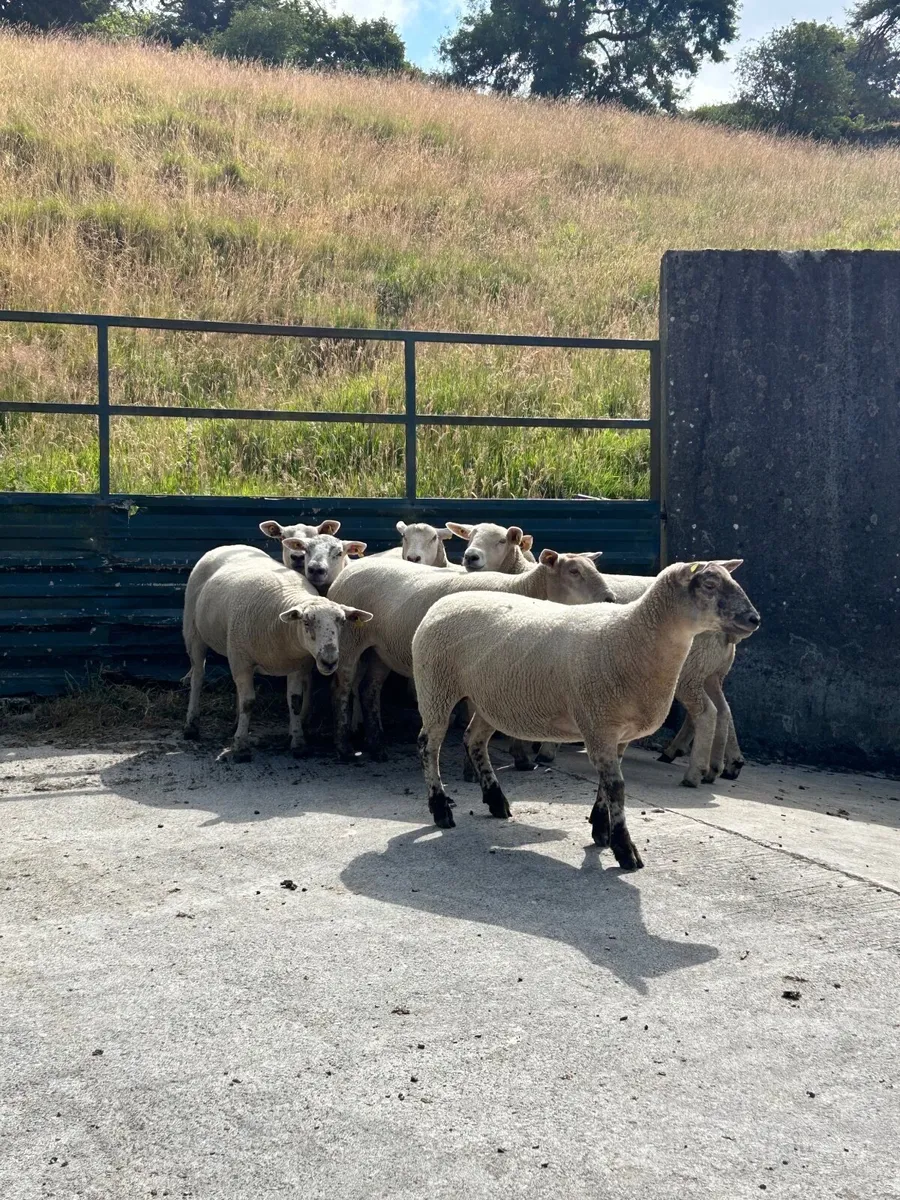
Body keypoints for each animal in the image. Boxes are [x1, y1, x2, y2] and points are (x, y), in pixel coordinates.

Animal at [182, 545, 372, 760]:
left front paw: (298, 743)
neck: (281, 626)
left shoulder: (296, 665)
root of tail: (229, 546)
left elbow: (294, 701)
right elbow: (248, 702)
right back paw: (191, 726)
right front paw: (241, 747)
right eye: (306, 622)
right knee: (198, 677)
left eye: (342, 621)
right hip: (193, 631)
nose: (329, 661)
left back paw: (235, 723)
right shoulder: (242, 660)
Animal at [326, 550, 617, 761]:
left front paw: (520, 757)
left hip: (381, 650)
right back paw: (344, 748)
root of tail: (350, 568)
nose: (610, 598)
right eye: (574, 571)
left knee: (369, 690)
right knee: (342, 688)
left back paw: (377, 747)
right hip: (349, 641)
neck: (524, 589)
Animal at [411, 560, 760, 869]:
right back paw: (440, 810)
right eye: (710, 584)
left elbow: (608, 783)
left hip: (488, 699)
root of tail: (443, 603)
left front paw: (601, 829)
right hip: (436, 684)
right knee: (429, 745)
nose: (754, 618)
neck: (634, 637)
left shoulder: (616, 732)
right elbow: (616, 786)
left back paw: (496, 801)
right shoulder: (598, 723)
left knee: (474, 740)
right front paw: (624, 849)